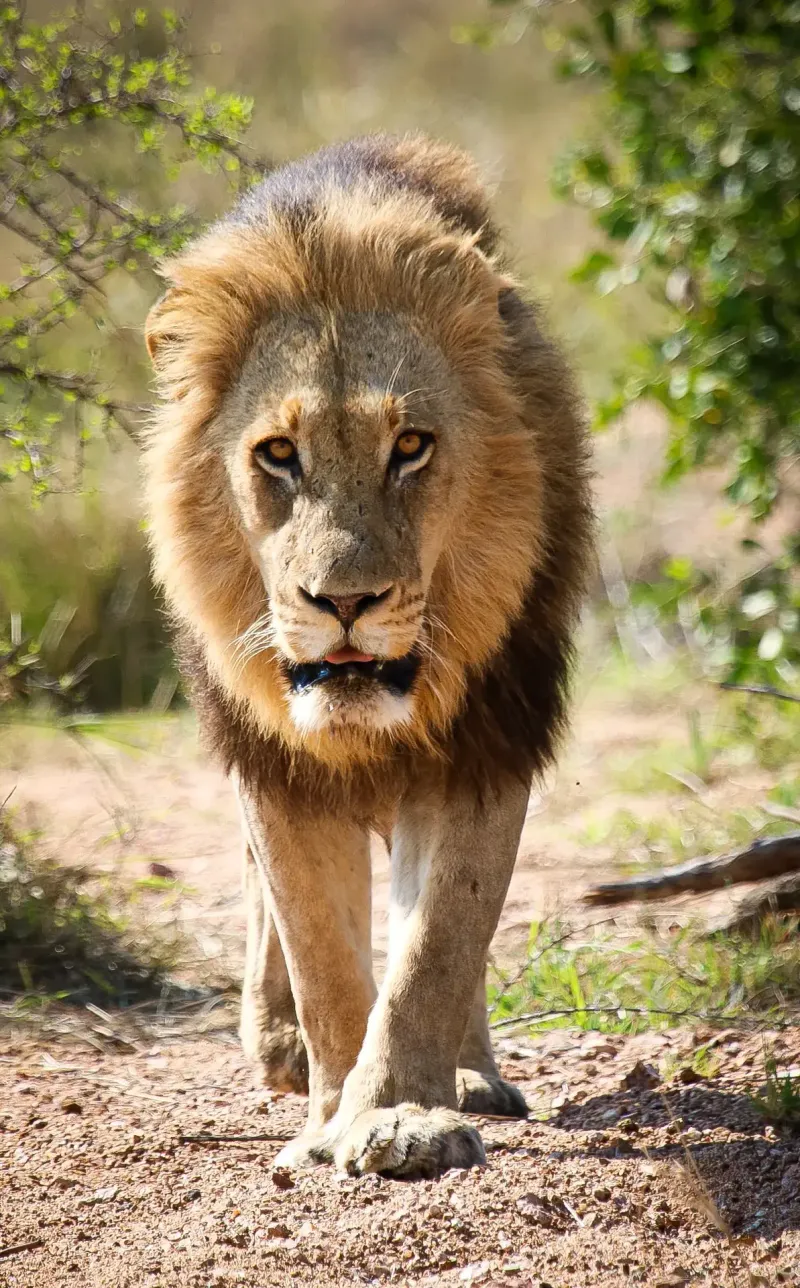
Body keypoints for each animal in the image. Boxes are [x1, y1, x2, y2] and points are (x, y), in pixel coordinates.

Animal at [143, 134, 593, 1179]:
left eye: (413, 446)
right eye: (277, 454)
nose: (345, 603)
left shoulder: (488, 743)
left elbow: (438, 946)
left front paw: (399, 1115)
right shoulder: (278, 768)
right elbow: (321, 955)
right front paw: (329, 1117)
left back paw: (469, 1074)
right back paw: (278, 1048)